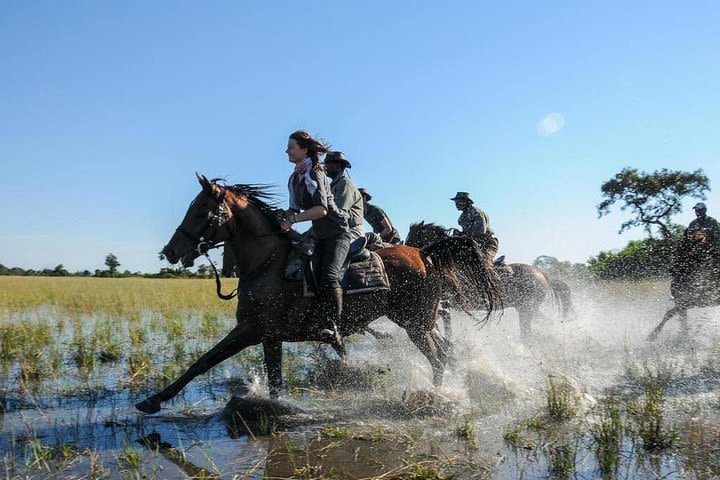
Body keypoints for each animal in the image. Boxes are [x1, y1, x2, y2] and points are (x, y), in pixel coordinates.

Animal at [138, 174, 504, 414]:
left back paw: (433, 399)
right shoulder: (270, 336)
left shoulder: (250, 330)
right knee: (446, 351)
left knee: (439, 358)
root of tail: (423, 253)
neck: (267, 263)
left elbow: (202, 362)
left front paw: (153, 400)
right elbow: (274, 380)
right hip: (419, 322)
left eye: (200, 210)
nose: (170, 251)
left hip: (416, 324)